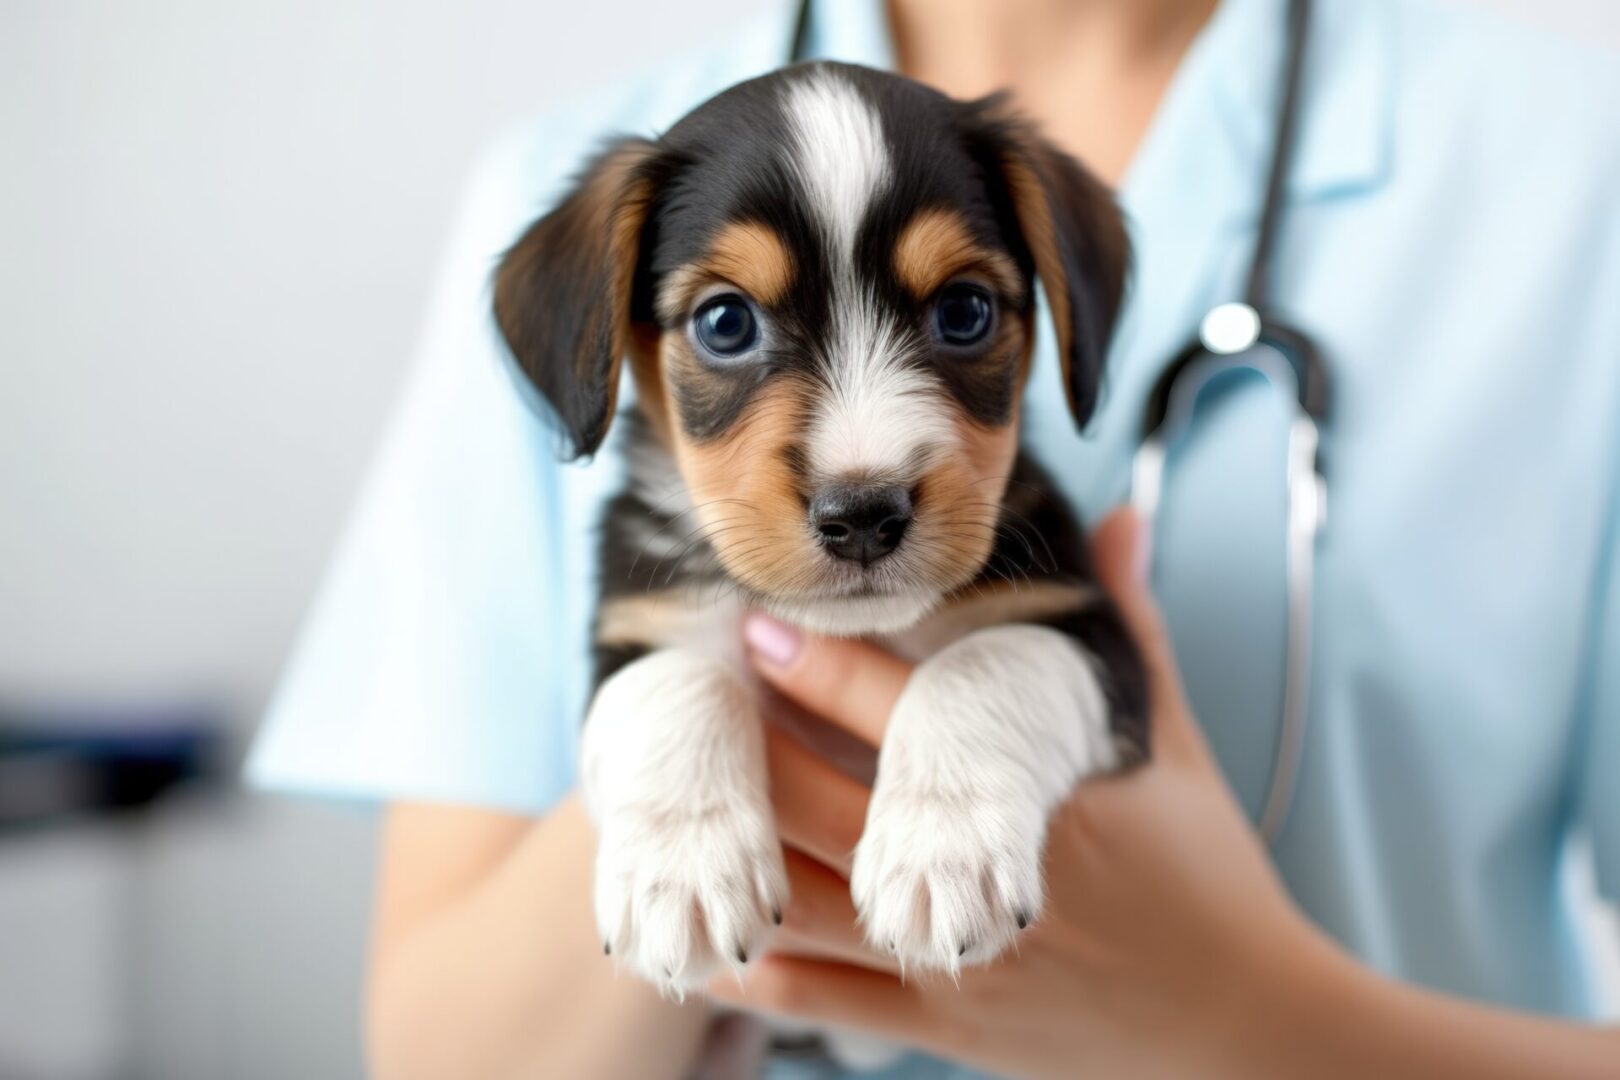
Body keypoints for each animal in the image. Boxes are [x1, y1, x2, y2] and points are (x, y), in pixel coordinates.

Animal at [495, 63, 1153, 997]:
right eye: (725, 321)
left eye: (965, 310)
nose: (864, 514)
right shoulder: (638, 628)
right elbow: (679, 684)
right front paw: (682, 869)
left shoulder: (1089, 633)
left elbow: (980, 664)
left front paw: (942, 848)